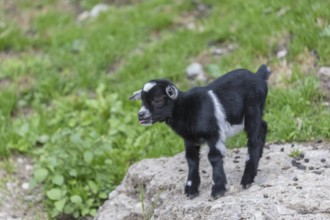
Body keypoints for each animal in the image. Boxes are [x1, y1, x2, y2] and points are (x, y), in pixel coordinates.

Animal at [129, 65, 270, 199]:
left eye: (158, 100)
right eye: (142, 100)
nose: (141, 115)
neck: (187, 108)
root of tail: (258, 75)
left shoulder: (214, 133)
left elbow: (214, 157)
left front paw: (218, 189)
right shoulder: (189, 139)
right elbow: (191, 159)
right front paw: (191, 188)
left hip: (252, 109)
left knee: (254, 140)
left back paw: (247, 179)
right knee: (263, 126)